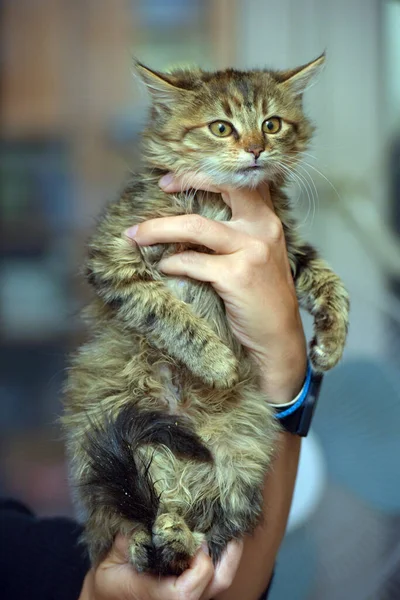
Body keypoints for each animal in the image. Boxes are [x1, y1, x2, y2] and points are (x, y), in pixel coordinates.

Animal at [62, 54, 350, 576]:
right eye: (221, 128)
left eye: (271, 124)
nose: (255, 149)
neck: (219, 206)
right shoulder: (116, 256)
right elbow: (167, 310)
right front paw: (216, 363)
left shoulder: (287, 250)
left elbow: (328, 279)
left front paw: (331, 343)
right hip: (102, 436)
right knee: (129, 515)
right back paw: (149, 539)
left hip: (242, 448)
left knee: (214, 517)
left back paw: (176, 538)